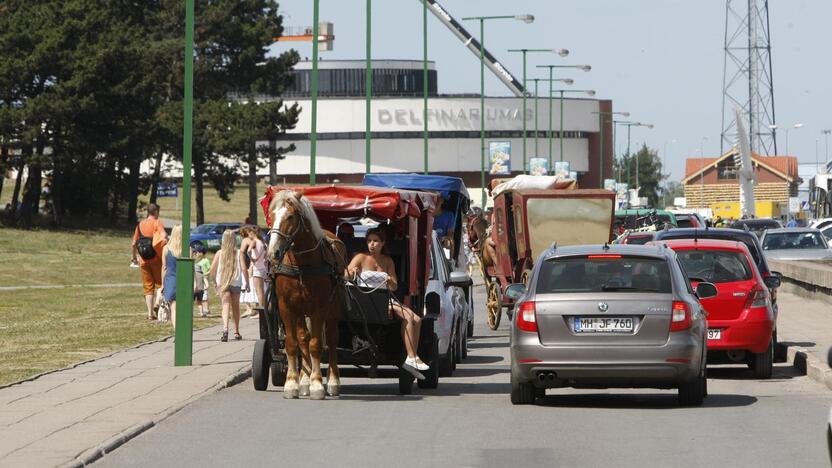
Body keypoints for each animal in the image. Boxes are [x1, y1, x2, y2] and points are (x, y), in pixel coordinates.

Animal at [264, 188, 346, 400]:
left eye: (290, 217)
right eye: (271, 216)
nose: (273, 253)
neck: (302, 265)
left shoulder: (319, 308)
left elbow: (316, 344)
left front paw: (317, 384)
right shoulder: (286, 307)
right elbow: (293, 344)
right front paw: (293, 382)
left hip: (333, 308)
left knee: (331, 339)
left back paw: (332, 381)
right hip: (300, 311)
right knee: (303, 338)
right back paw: (304, 379)